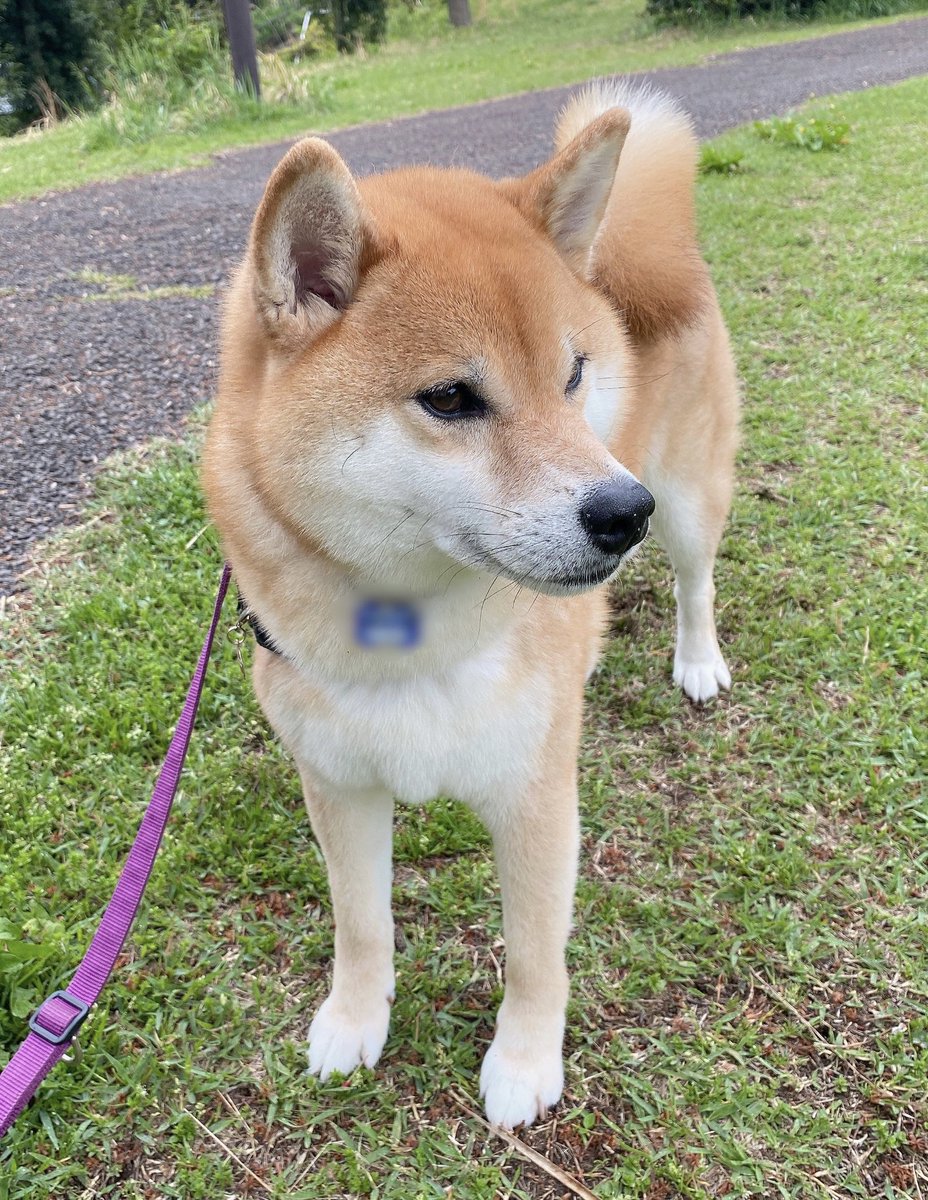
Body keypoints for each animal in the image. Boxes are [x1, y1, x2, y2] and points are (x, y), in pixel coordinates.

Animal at [202, 79, 739, 1128]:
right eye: (451, 398)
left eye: (573, 374)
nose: (623, 514)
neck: (408, 633)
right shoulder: (339, 784)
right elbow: (361, 924)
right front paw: (354, 1020)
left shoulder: (535, 795)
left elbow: (534, 954)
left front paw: (525, 1064)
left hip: (692, 501)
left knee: (696, 581)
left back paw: (697, 661)